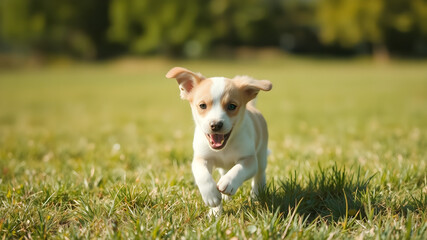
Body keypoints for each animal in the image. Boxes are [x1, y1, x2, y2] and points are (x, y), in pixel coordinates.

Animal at [166, 67, 272, 216]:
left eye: (232, 106)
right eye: (202, 105)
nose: (216, 125)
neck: (224, 148)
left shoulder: (250, 160)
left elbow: (239, 169)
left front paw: (229, 182)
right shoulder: (201, 158)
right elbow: (202, 174)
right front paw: (213, 202)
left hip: (261, 155)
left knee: (260, 175)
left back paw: (257, 194)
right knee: (224, 171)